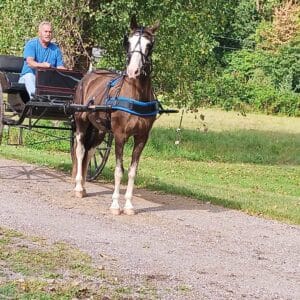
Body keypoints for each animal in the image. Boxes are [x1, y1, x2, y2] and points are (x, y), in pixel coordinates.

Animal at [71, 16, 159, 214]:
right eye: (128, 42)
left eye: (149, 45)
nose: (133, 71)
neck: (136, 95)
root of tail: (89, 75)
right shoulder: (120, 135)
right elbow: (119, 171)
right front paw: (115, 205)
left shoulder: (142, 137)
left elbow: (133, 172)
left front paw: (129, 205)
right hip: (81, 122)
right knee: (80, 150)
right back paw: (79, 187)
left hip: (99, 130)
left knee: (90, 151)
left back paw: (85, 186)